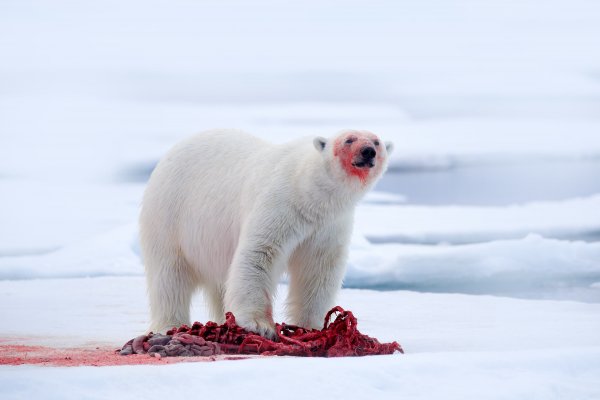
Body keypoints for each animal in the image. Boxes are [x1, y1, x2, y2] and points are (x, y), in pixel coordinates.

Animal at [140, 130, 394, 336]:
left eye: (377, 141)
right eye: (349, 139)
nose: (368, 151)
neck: (309, 191)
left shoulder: (329, 226)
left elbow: (318, 269)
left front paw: (312, 326)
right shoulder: (280, 203)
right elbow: (260, 253)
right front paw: (258, 325)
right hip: (169, 215)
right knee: (169, 276)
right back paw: (170, 325)